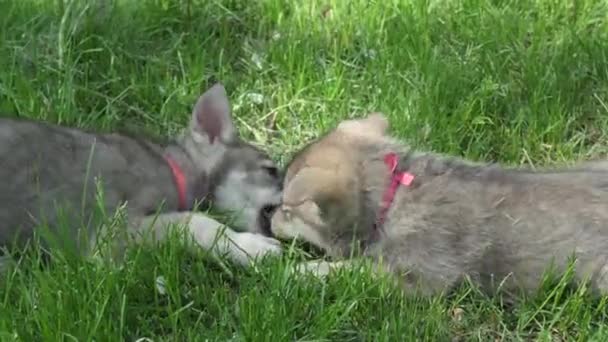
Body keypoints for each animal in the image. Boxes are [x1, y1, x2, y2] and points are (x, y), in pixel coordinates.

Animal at [274, 113, 608, 298]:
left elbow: (349, 270)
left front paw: (296, 271)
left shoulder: (417, 278)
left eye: (286, 210)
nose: (268, 217)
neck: (392, 197)